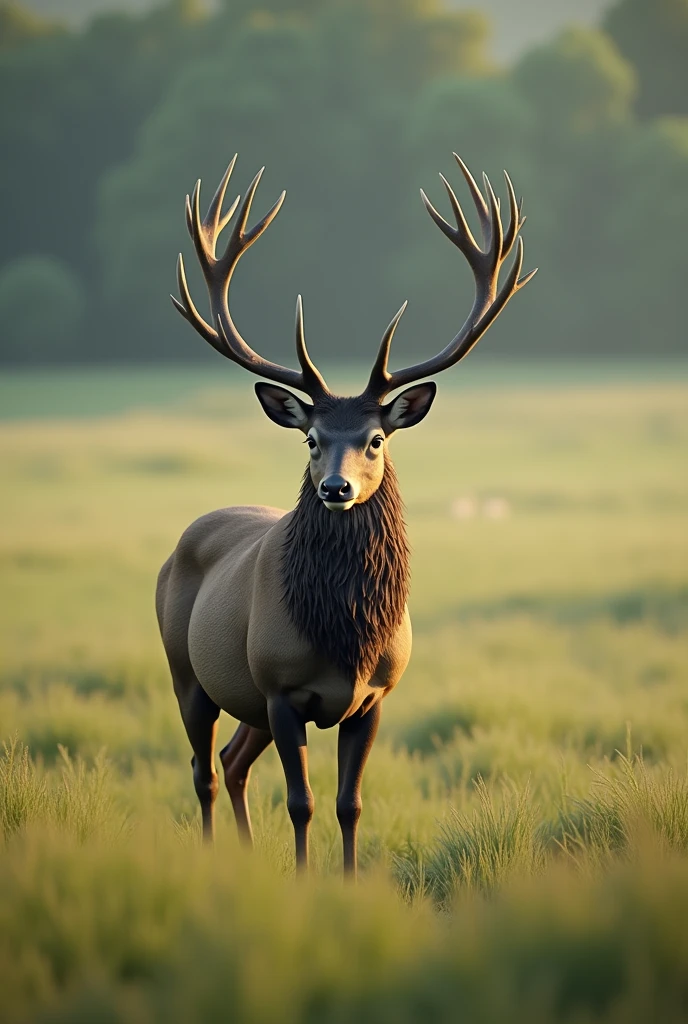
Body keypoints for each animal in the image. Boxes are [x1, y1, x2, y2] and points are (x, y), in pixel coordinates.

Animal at [156, 152, 536, 876]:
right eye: (311, 438)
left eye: (376, 439)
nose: (335, 488)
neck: (346, 637)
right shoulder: (280, 690)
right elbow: (301, 803)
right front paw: (308, 883)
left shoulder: (374, 698)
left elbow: (348, 804)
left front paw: (351, 881)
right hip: (186, 670)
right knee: (203, 769)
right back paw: (217, 858)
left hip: (242, 698)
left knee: (232, 761)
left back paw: (246, 858)